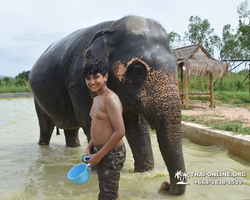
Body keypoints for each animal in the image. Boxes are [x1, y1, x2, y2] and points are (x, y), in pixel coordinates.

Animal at [28, 15, 186, 195]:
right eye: (137, 70)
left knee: (71, 130)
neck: (112, 27)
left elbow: (137, 128)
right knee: (45, 129)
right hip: (36, 98)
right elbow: (90, 122)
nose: (165, 185)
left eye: (176, 65)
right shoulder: (78, 81)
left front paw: (144, 172)